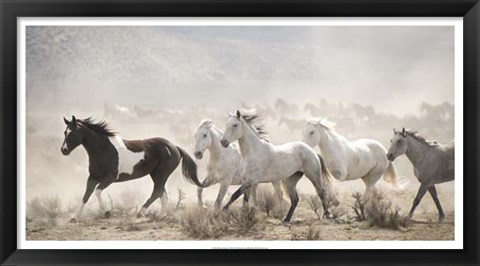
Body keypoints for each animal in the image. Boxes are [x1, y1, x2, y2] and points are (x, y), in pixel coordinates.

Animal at [61, 116, 203, 222]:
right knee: (162, 194)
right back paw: (160, 216)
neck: (104, 149)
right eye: (65, 132)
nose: (64, 150)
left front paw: (107, 212)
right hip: (156, 175)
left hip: (161, 174)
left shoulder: (110, 177)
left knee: (157, 192)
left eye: (73, 132)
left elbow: (97, 191)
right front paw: (74, 217)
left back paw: (140, 213)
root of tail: (174, 147)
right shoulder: (92, 178)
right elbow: (86, 195)